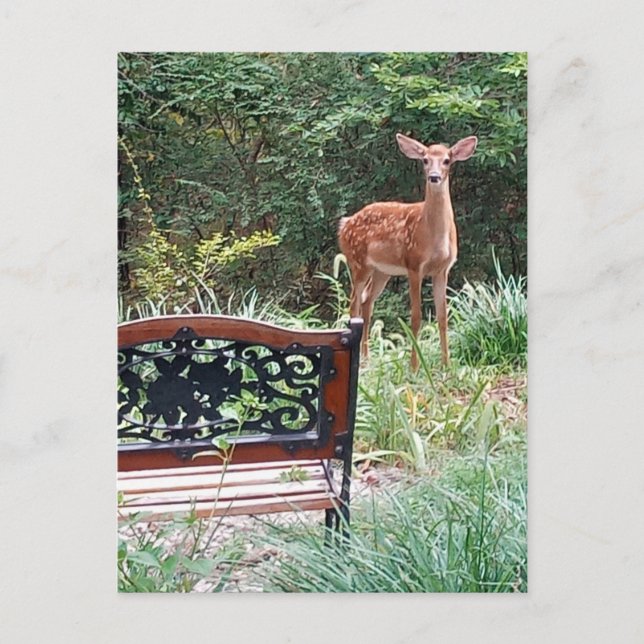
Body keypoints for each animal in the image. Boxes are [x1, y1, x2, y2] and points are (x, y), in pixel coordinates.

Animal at [338, 132, 477, 370]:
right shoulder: (414, 265)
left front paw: (446, 366)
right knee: (354, 304)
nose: (434, 177)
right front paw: (414, 367)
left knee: (366, 302)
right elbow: (416, 317)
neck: (433, 237)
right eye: (425, 160)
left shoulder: (442, 270)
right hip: (357, 262)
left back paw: (366, 358)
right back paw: (362, 361)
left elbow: (442, 317)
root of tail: (344, 225)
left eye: (447, 160)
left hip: (382, 271)